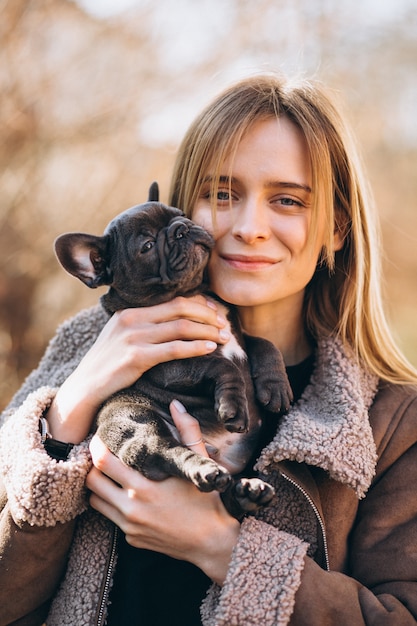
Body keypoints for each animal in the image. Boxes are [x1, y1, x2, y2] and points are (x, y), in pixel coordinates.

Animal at [53, 183, 290, 520]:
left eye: (180, 214)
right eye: (148, 246)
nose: (181, 229)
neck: (194, 293)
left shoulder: (239, 336)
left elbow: (263, 344)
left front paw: (276, 386)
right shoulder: (167, 365)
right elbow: (222, 365)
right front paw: (233, 407)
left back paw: (248, 493)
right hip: (137, 421)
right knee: (163, 450)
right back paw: (204, 469)